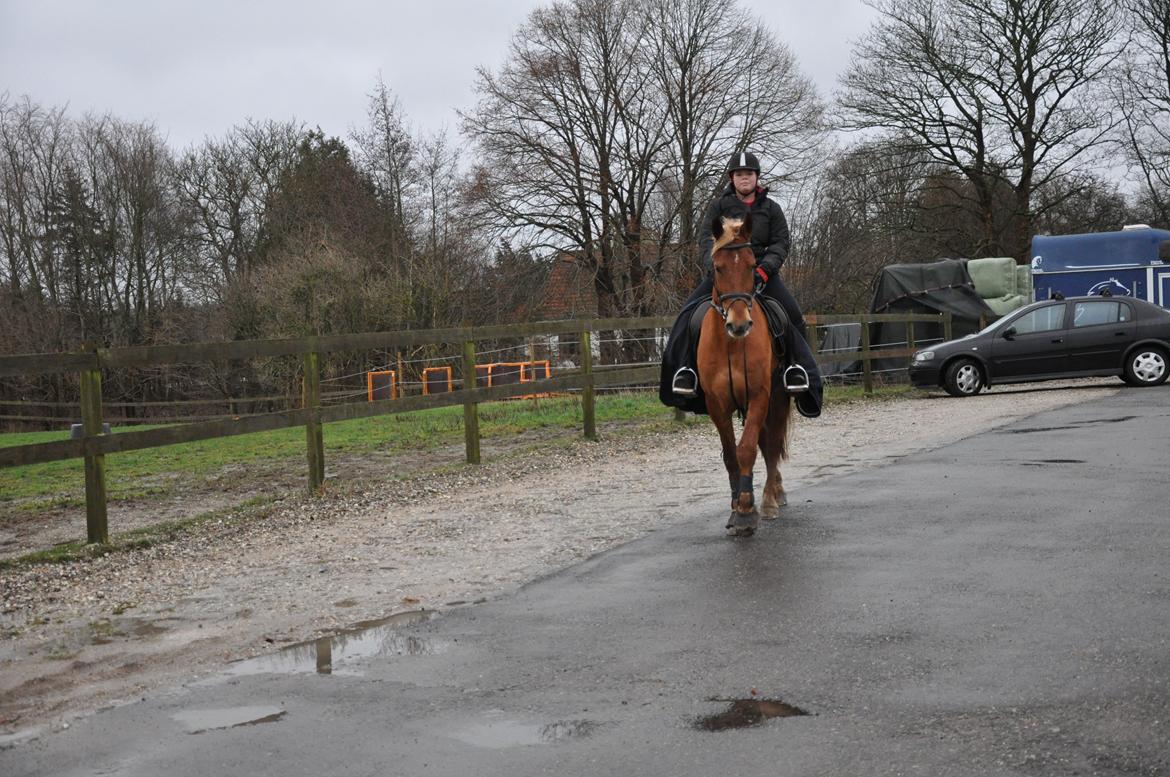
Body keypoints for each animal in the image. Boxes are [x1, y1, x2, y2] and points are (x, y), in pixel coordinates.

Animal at [692, 215, 795, 538]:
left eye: (752, 265)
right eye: (717, 268)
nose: (739, 324)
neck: (732, 345)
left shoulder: (761, 395)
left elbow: (747, 449)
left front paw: (747, 511)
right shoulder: (716, 403)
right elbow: (730, 454)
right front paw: (736, 504)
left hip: (777, 400)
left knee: (771, 444)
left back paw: (772, 498)